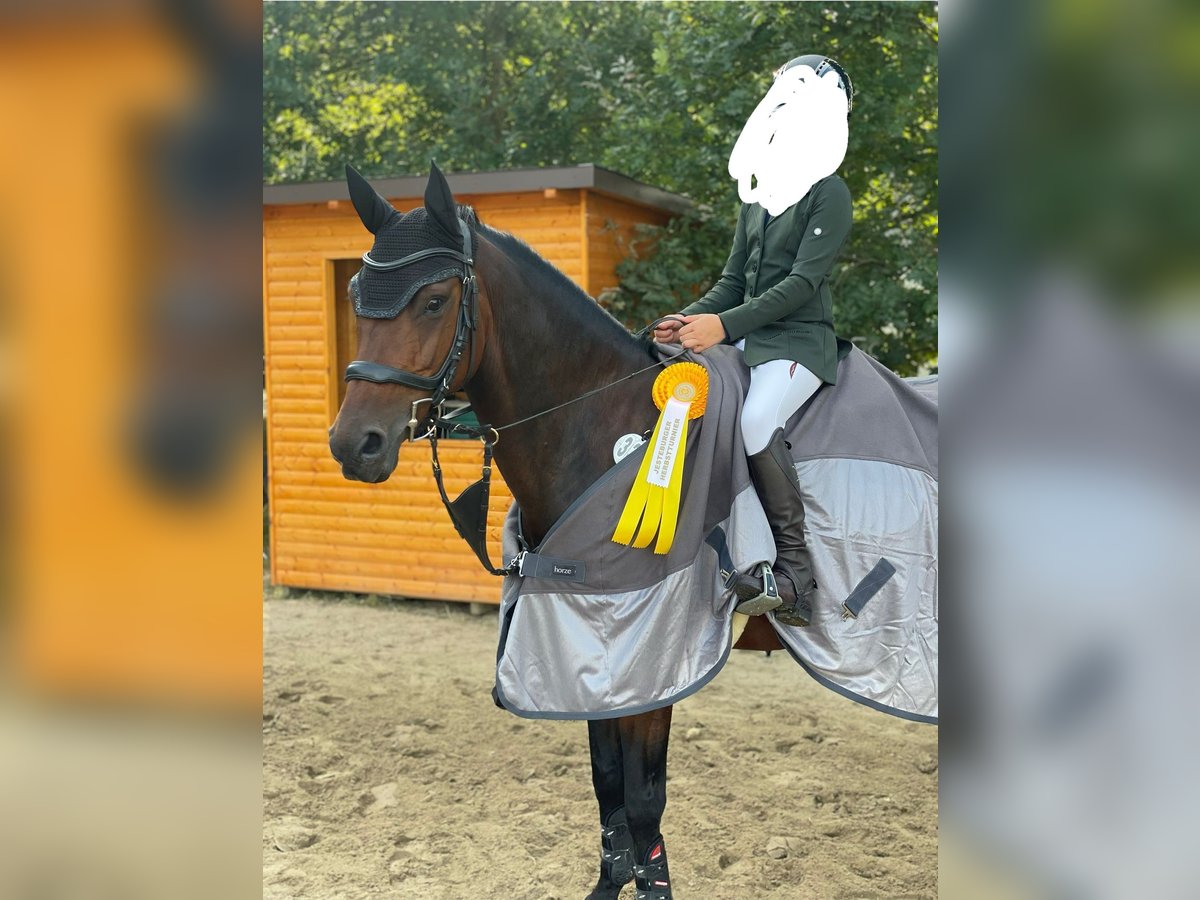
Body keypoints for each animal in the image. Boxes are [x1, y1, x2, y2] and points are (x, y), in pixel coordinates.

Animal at [330, 162, 767, 899]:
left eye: (434, 301)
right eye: (358, 296)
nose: (353, 444)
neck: (599, 429)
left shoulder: (657, 645)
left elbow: (645, 794)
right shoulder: (585, 626)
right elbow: (608, 780)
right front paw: (610, 883)